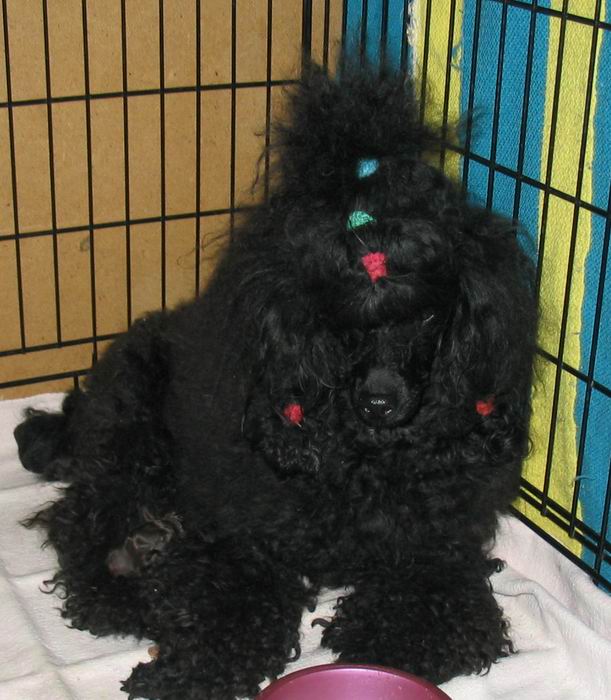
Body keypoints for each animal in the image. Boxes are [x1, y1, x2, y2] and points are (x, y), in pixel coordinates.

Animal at [14, 62, 537, 700]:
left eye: (425, 316)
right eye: (338, 315)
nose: (379, 402)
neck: (366, 460)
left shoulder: (438, 549)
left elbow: (423, 617)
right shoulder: (244, 538)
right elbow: (231, 610)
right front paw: (186, 671)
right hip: (130, 433)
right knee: (78, 520)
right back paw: (117, 598)